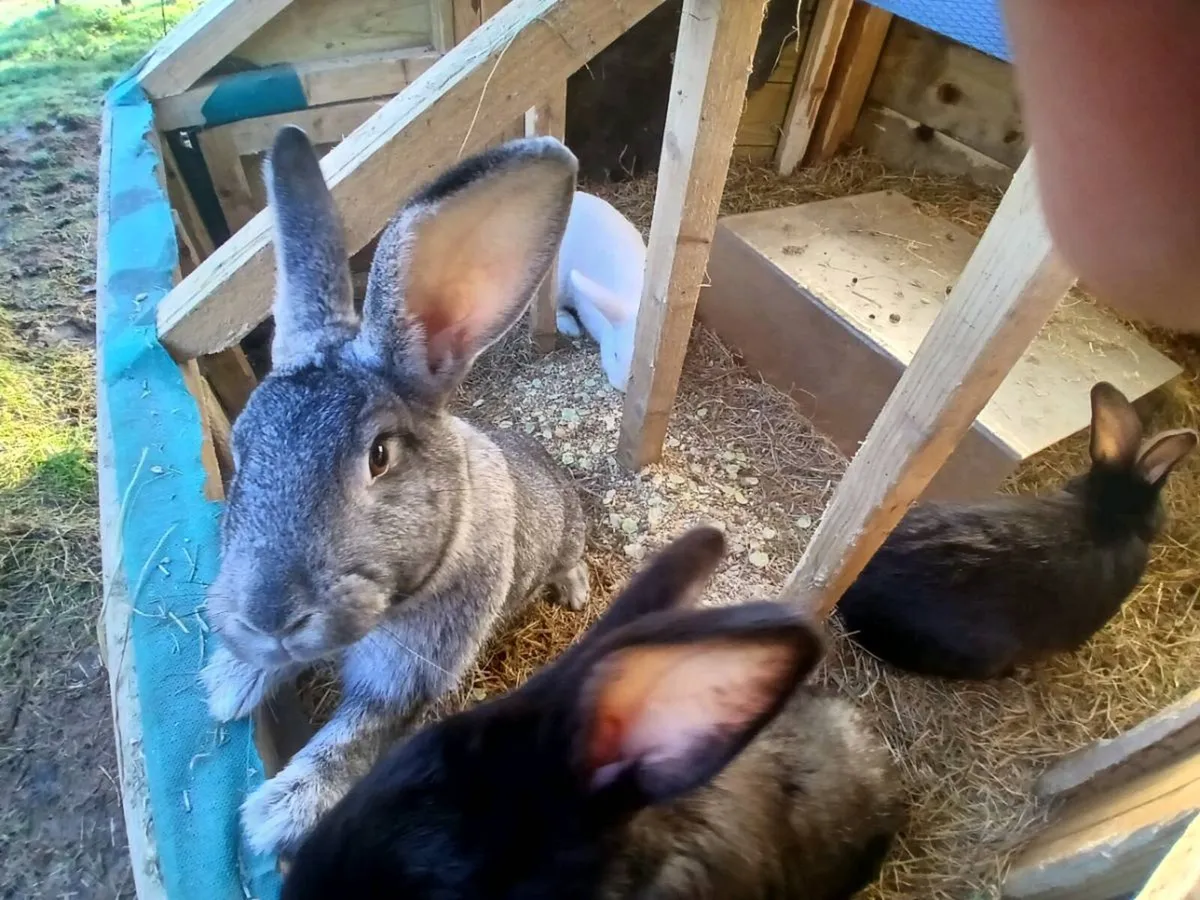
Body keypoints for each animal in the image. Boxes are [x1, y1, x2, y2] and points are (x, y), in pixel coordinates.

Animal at [199, 126, 591, 856]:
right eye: (242, 445)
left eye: (378, 457)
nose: (269, 617)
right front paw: (229, 684)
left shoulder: (403, 679)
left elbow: (351, 740)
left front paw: (274, 814)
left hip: (567, 537)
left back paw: (576, 591)